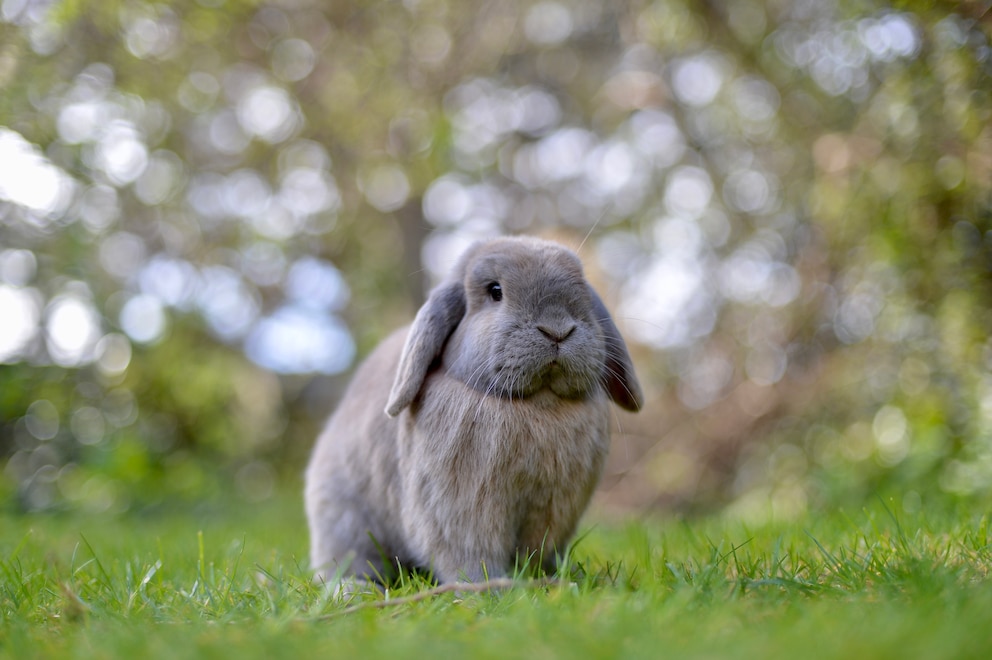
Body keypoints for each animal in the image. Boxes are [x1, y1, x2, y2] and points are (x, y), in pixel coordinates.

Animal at [304, 235, 644, 584]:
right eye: (495, 291)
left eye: (583, 289)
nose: (557, 329)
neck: (538, 405)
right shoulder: (461, 509)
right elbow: (470, 554)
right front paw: (493, 586)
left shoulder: (554, 510)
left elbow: (540, 550)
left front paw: (548, 577)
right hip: (344, 518)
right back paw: (352, 588)